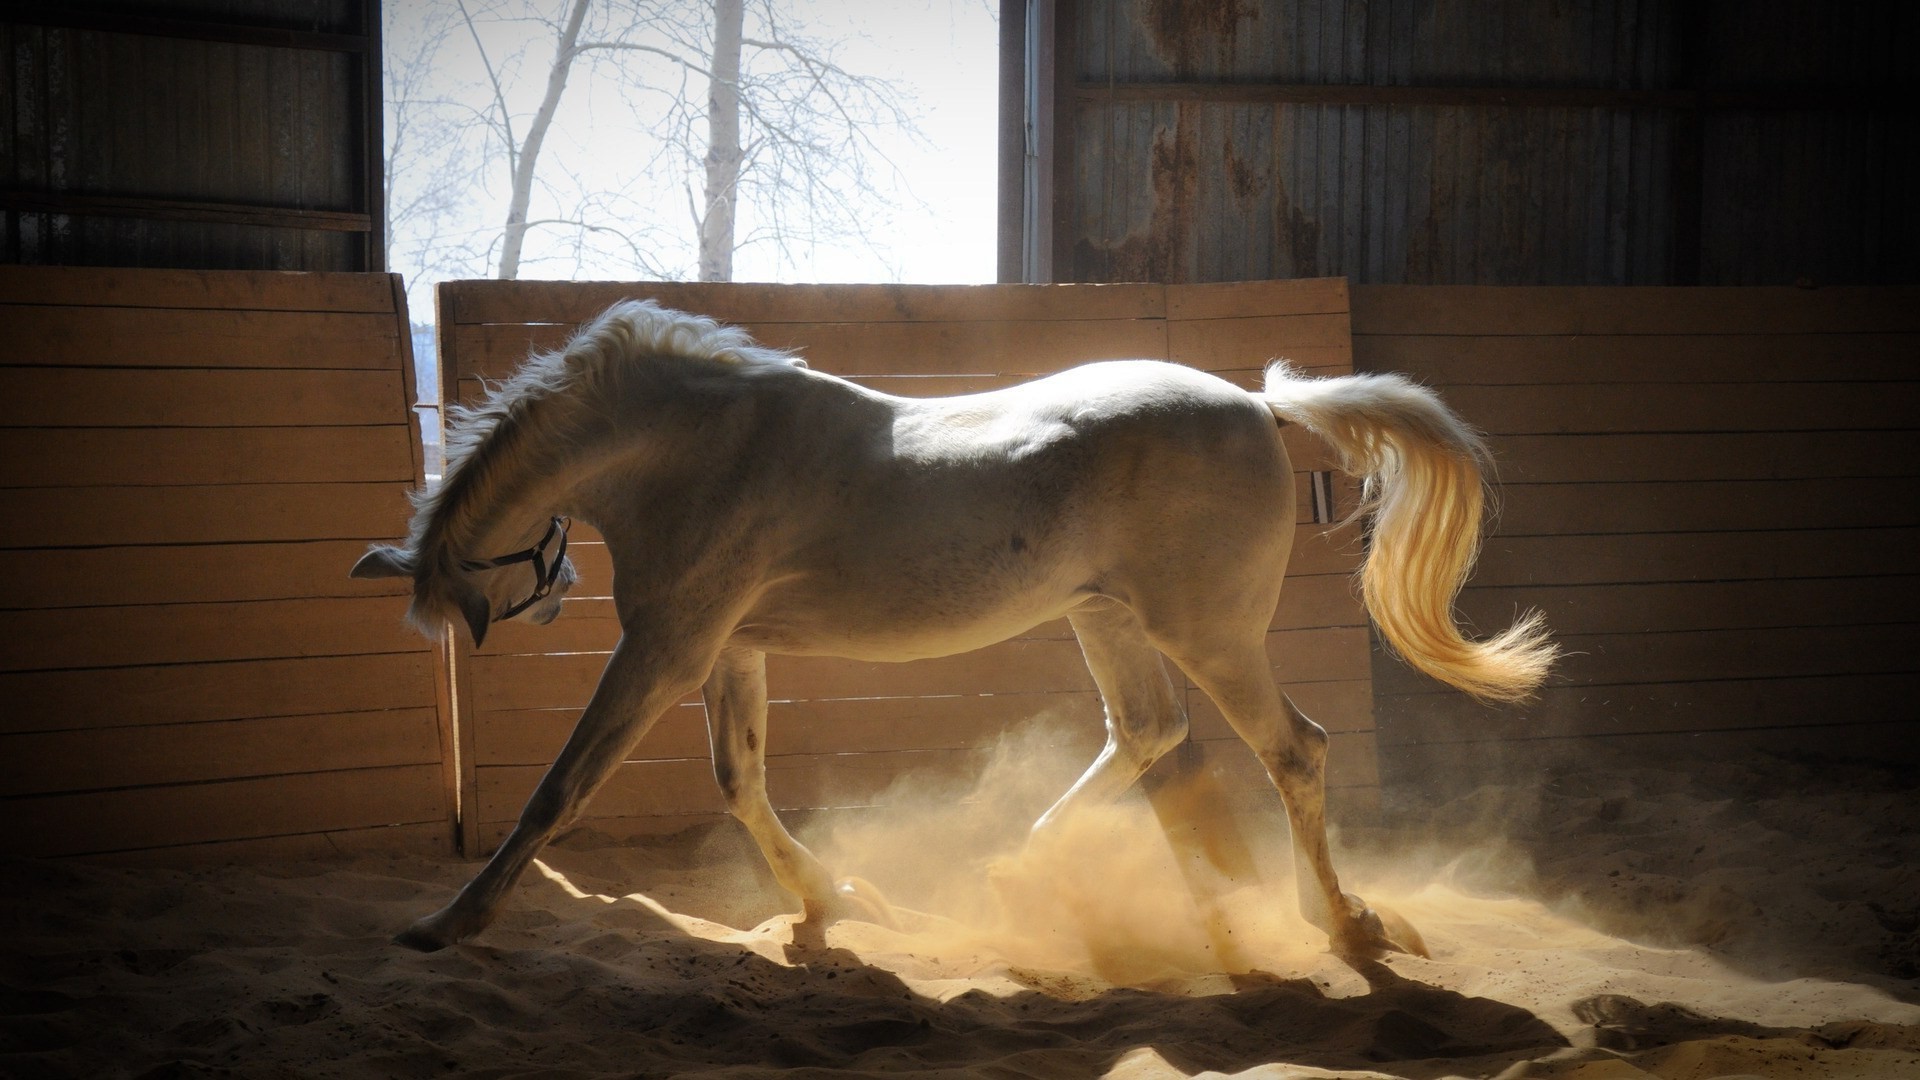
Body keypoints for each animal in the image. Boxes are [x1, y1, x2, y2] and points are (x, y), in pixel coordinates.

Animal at [357, 297, 1559, 953]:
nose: (547, 595)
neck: (699, 447)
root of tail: (1259, 406)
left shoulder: (664, 649)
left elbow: (559, 792)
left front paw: (447, 923)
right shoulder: (727, 651)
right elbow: (739, 783)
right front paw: (829, 901)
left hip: (1210, 635)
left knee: (1292, 751)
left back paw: (1345, 925)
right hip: (1107, 622)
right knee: (1149, 733)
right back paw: (1020, 871)